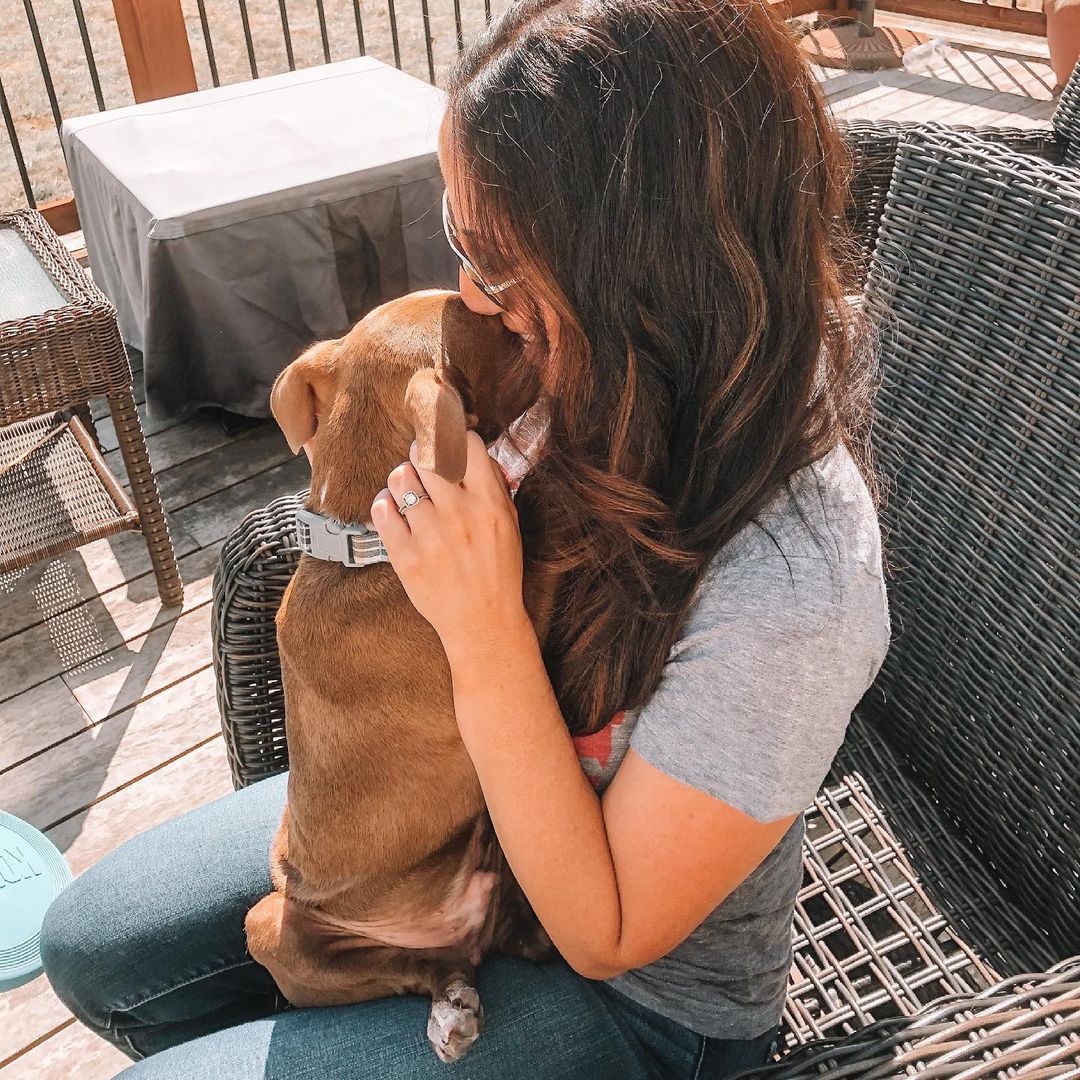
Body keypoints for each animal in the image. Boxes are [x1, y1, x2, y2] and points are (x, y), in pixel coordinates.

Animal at [243, 287, 548, 1062]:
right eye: (505, 338)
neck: (365, 542)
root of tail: (456, 933)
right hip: (271, 927)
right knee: (412, 969)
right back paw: (449, 1002)